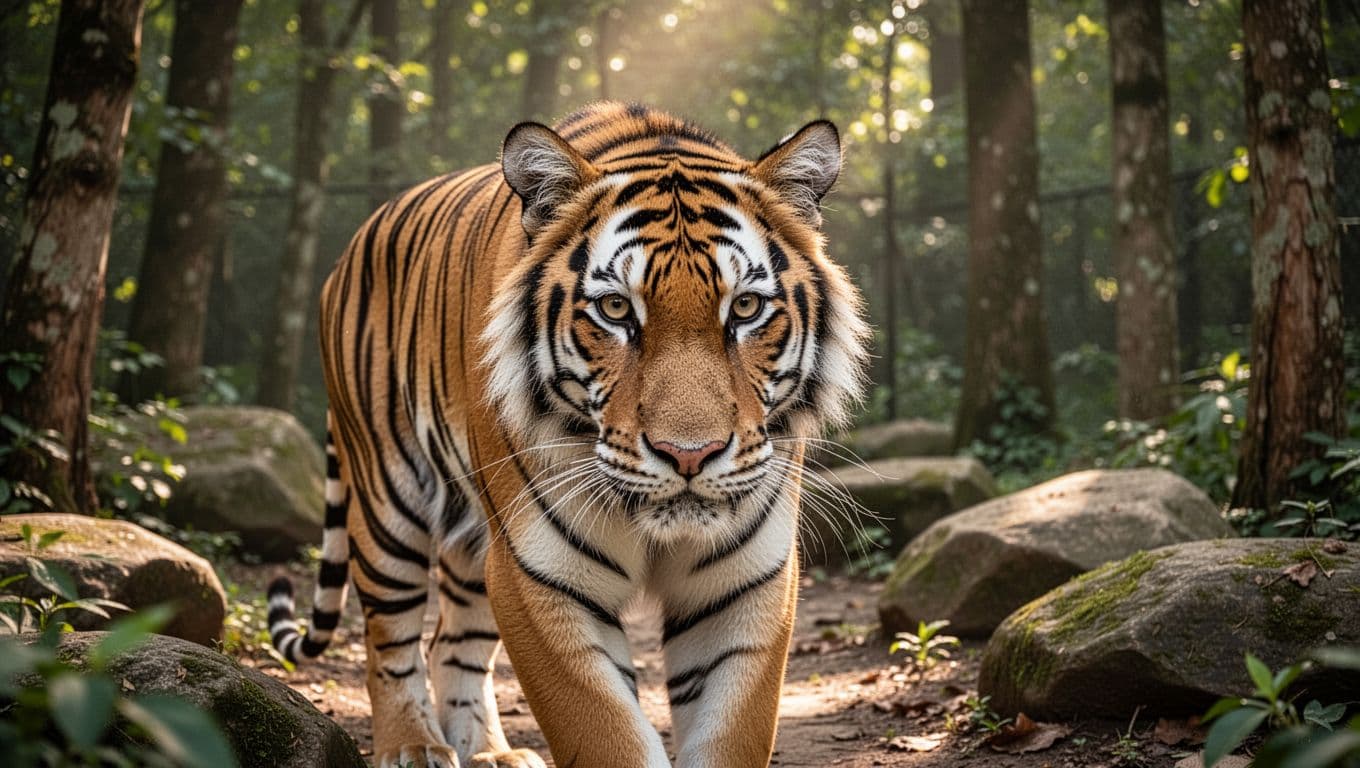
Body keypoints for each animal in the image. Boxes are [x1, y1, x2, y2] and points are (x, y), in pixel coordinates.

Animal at [266, 101, 869, 768]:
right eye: (615, 310)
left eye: (744, 309)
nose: (690, 455)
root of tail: (353, 243)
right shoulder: (538, 574)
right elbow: (605, 731)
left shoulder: (746, 583)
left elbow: (730, 733)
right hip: (387, 497)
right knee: (389, 637)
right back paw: (414, 746)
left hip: (475, 541)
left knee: (452, 638)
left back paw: (490, 752)